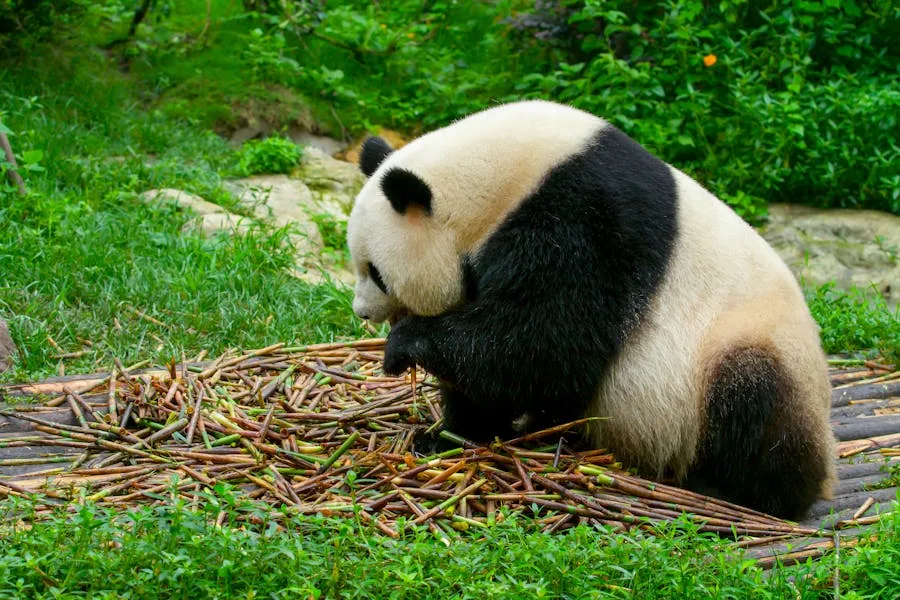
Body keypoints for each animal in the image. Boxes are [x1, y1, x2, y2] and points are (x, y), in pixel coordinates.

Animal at [346, 99, 836, 520]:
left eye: (376, 272)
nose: (361, 312)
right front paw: (447, 435)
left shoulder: (586, 220)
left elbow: (544, 343)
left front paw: (405, 345)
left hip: (749, 347)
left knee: (753, 405)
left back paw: (737, 490)